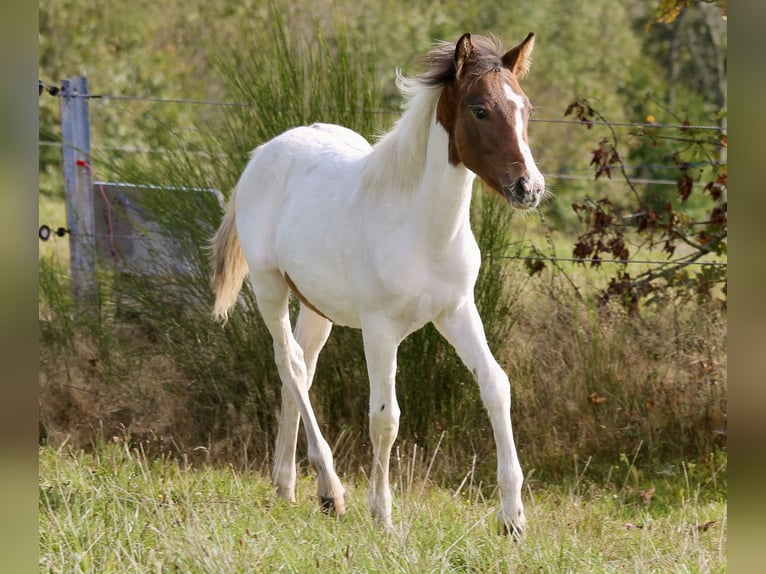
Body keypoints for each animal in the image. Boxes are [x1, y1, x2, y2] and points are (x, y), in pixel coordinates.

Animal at [210, 32, 544, 540]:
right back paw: (332, 491)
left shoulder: (457, 312)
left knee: (301, 370)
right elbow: (386, 418)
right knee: (290, 365)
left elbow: (496, 386)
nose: (529, 187)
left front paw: (513, 519)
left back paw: (287, 485)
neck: (422, 229)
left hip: (317, 308)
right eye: (480, 110)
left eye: (524, 107)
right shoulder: (380, 328)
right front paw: (382, 516)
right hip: (270, 289)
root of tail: (263, 154)